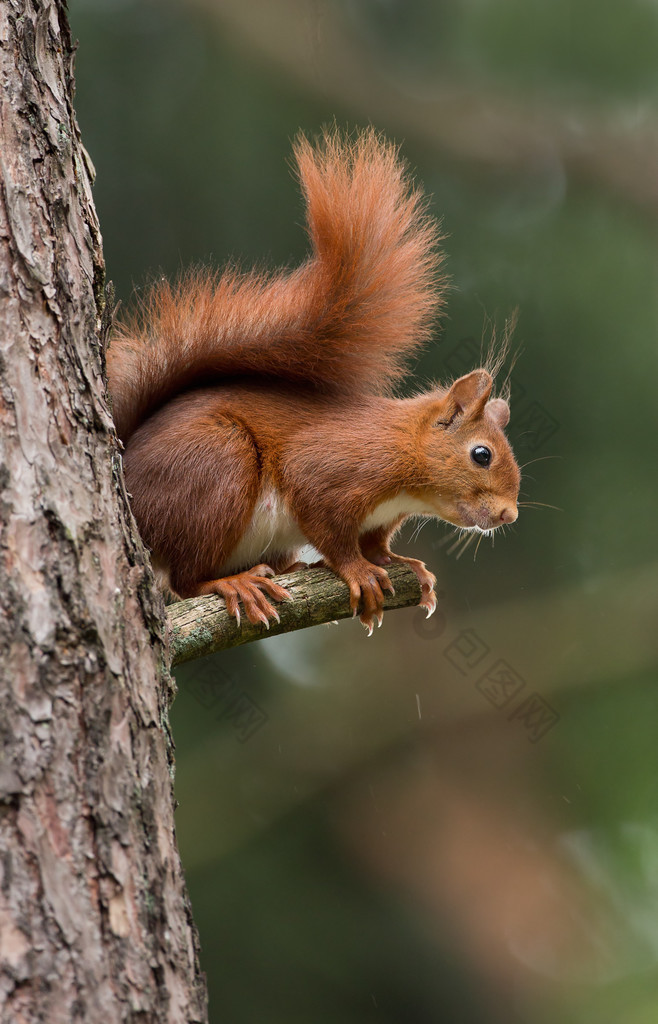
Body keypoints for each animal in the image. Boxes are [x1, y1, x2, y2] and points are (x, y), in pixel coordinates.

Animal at [106, 125, 519, 630]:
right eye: (482, 455)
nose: (509, 515)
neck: (406, 458)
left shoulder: (380, 517)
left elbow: (376, 543)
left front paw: (402, 564)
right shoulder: (332, 472)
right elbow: (329, 527)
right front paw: (358, 570)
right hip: (215, 467)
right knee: (184, 580)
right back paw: (233, 583)